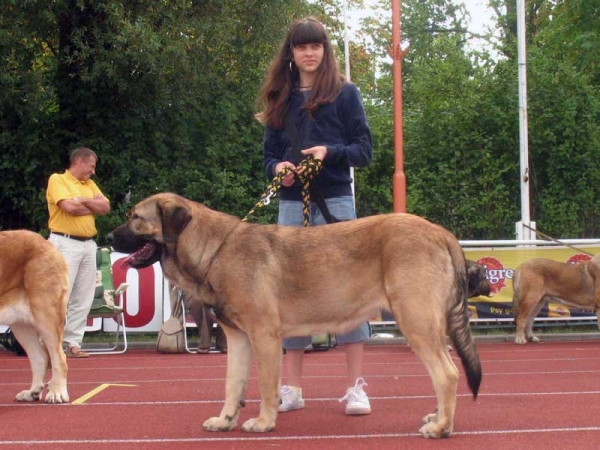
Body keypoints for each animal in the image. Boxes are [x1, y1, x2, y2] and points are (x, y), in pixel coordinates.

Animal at [0, 230, 69, 402]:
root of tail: (45, 242)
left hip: (46, 315)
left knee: (59, 358)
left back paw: (57, 392)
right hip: (21, 326)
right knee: (40, 357)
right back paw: (32, 392)